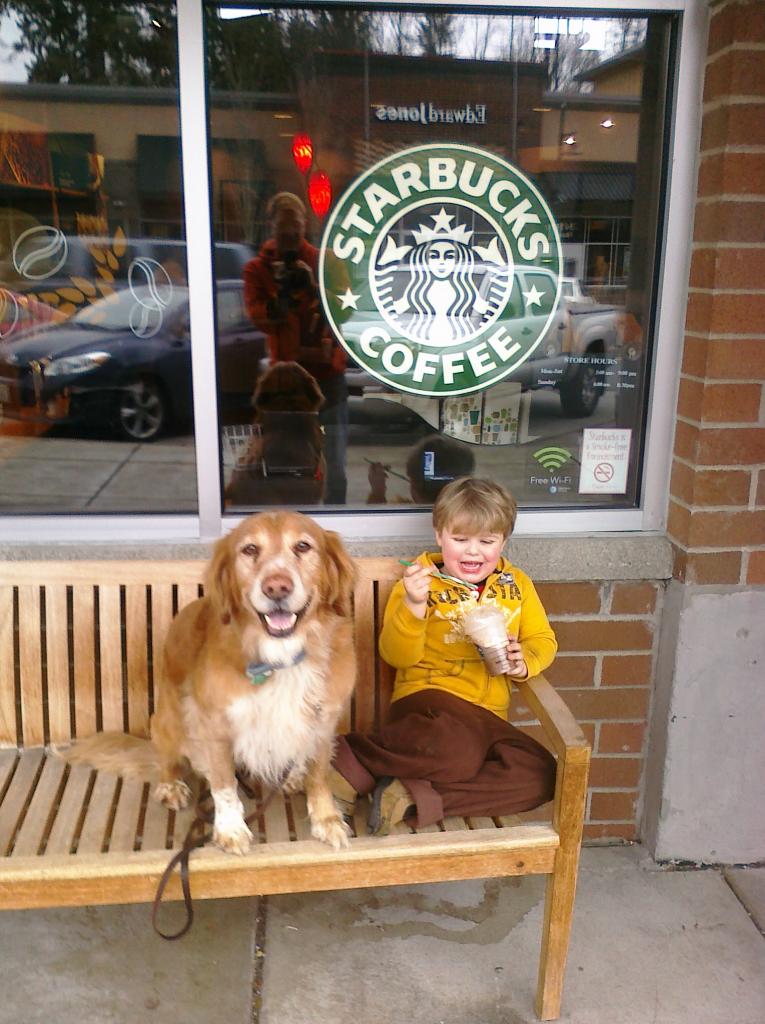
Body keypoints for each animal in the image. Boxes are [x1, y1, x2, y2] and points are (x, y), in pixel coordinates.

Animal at [61, 512, 358, 856]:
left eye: (303, 546)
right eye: (249, 549)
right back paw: (171, 785)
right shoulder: (215, 725)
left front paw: (326, 819)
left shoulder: (323, 721)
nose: (276, 587)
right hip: (169, 719)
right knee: (171, 761)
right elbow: (224, 785)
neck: (279, 658)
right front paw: (230, 828)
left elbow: (319, 775)